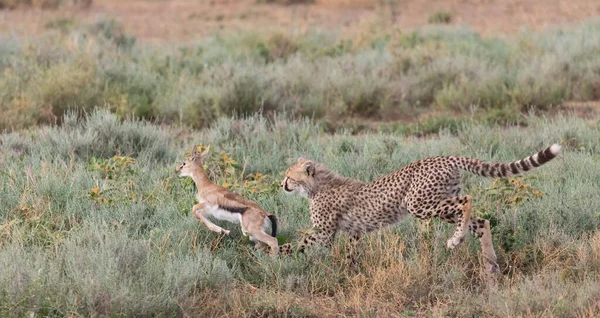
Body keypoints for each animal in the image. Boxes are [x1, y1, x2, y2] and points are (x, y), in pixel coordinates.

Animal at [282, 145, 564, 274]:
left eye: (289, 176)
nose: (281, 184)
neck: (317, 184)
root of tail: (445, 156)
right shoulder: (354, 232)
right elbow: (350, 254)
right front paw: (350, 273)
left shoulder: (324, 232)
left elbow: (300, 242)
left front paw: (278, 254)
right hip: (438, 201)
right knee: (481, 222)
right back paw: (490, 264)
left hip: (418, 203)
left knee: (467, 201)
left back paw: (456, 240)